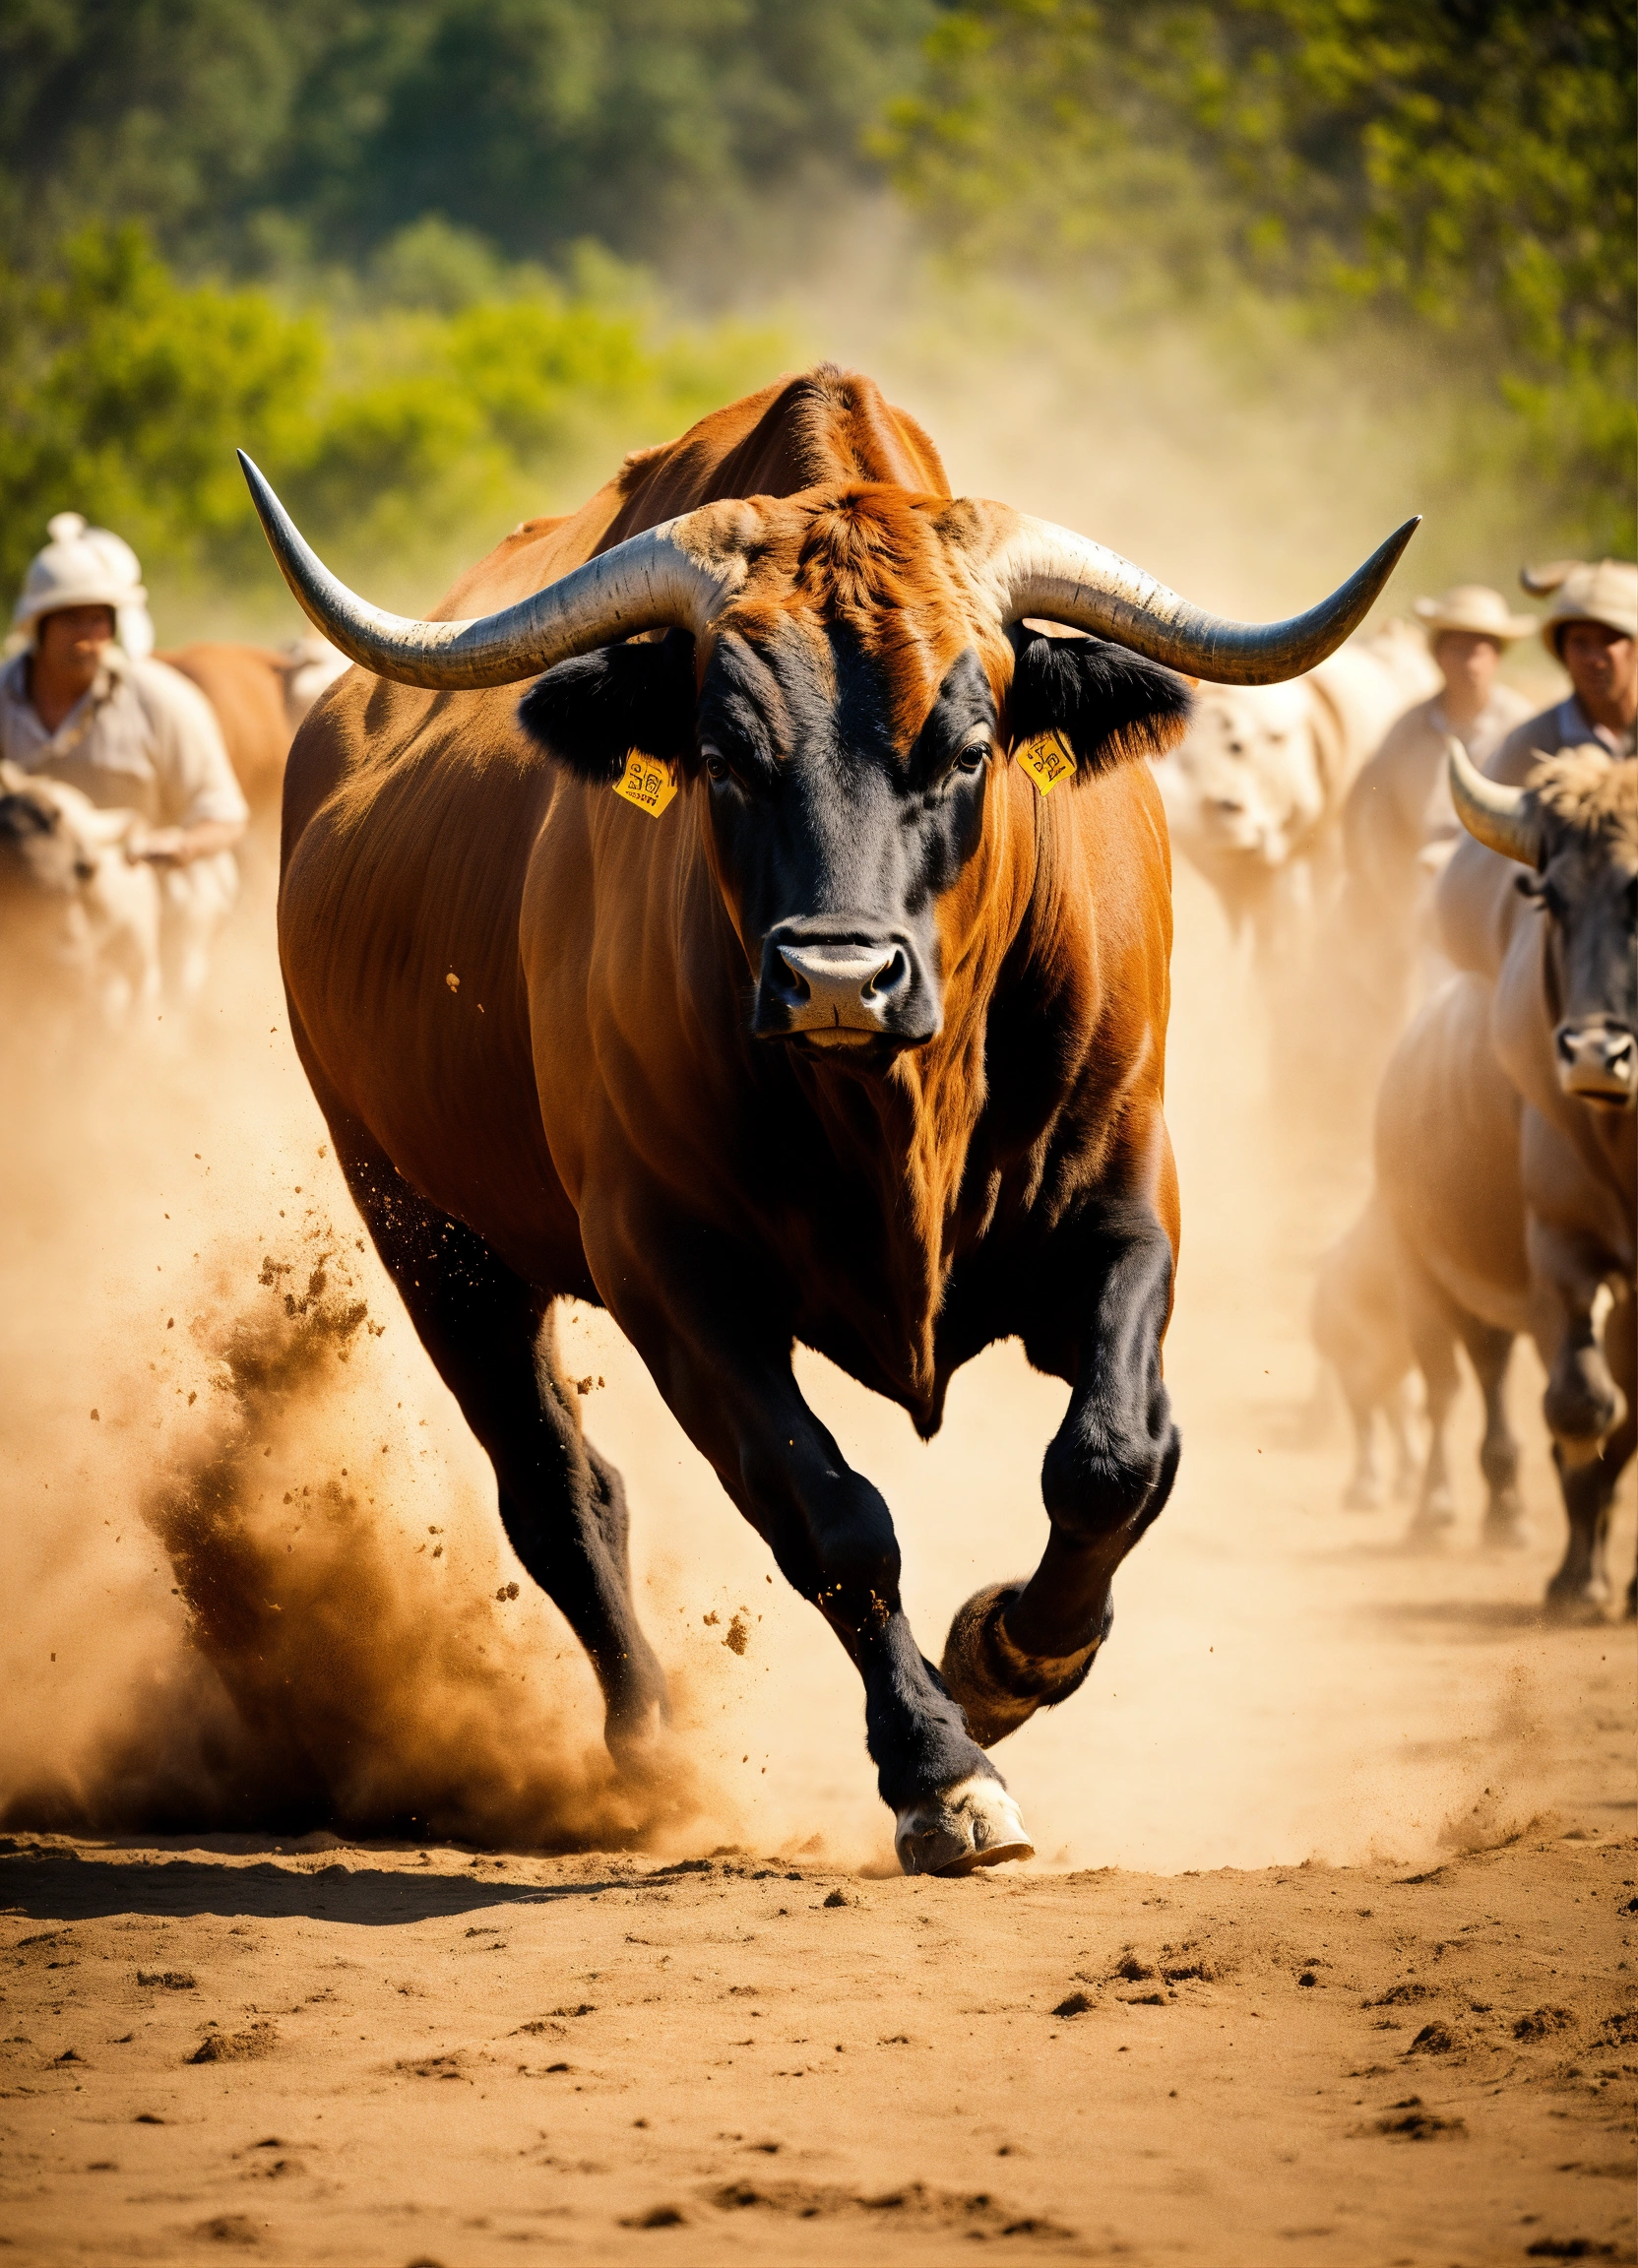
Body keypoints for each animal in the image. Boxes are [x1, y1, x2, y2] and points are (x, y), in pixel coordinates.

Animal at [243, 366, 1415, 1869]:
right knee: (557, 1491)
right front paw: (940, 1768)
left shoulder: (1122, 1204)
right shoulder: (674, 1278)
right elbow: (830, 1517)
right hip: (427, 1236)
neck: (899, 1110)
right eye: (722, 752)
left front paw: (1011, 1654)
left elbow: (1115, 1455)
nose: (839, 978)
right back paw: (647, 1750)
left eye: (969, 747)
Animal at [1375, 739, 1635, 1609]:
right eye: (1551, 900)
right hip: (1422, 1271)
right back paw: (1467, 1512)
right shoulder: (1561, 1250)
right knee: (1459, 1384)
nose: (1594, 1054)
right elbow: (1581, 1405)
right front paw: (1577, 1579)